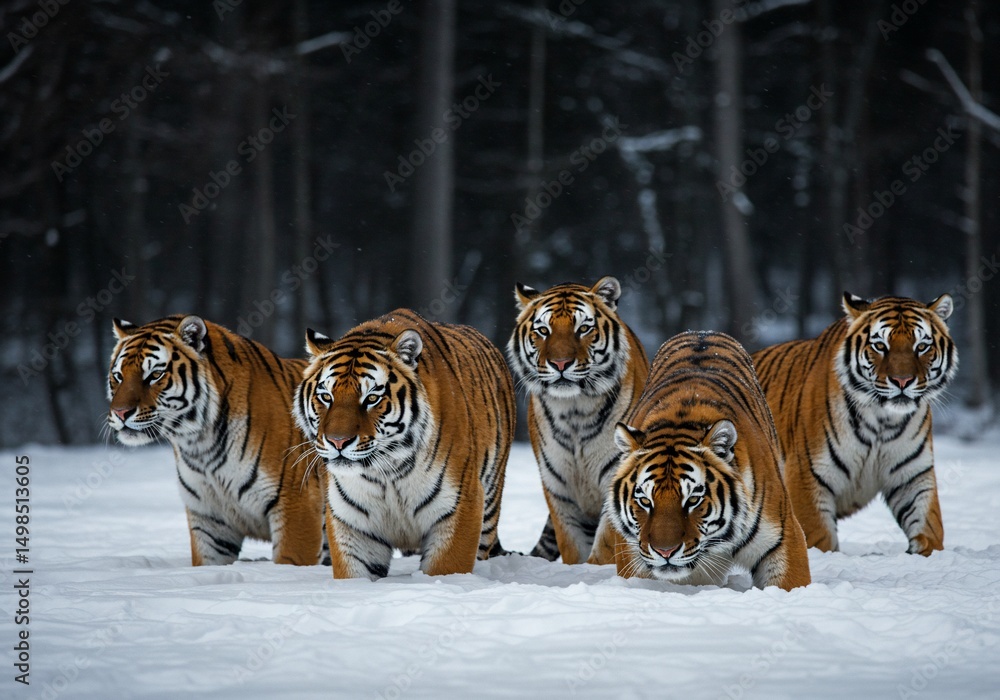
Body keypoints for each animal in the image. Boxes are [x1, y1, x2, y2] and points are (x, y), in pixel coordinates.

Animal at [106, 315, 326, 566]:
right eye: (118, 376)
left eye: (154, 375)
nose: (120, 413)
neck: (200, 444)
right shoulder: (210, 518)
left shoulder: (297, 507)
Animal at [293, 308, 515, 580]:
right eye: (326, 397)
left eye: (372, 398)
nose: (338, 441)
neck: (386, 473)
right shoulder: (353, 525)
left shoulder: (460, 506)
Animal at [506, 276, 649, 565]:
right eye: (543, 330)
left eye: (583, 328)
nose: (560, 363)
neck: (574, 411)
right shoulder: (560, 490)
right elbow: (572, 545)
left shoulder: (616, 480)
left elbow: (605, 544)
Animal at [590, 331, 811, 591]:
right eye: (644, 501)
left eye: (693, 500)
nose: (665, 552)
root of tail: (701, 332)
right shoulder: (632, 551)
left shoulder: (783, 538)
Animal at [751, 292, 957, 556]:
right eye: (880, 346)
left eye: (921, 346)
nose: (902, 381)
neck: (883, 419)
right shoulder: (808, 476)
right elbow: (818, 538)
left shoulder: (912, 477)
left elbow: (930, 528)